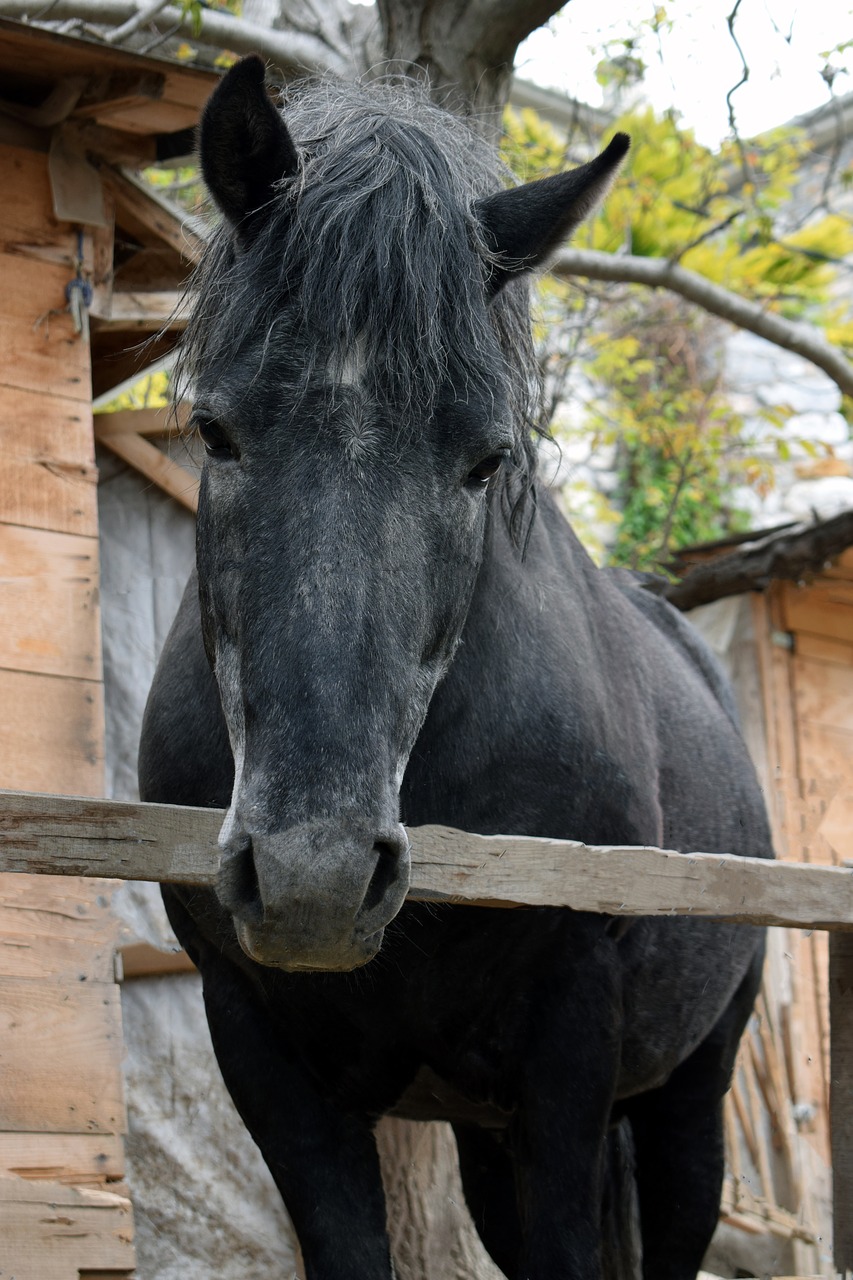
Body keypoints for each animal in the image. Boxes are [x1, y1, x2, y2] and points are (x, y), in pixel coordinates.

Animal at [140, 57, 768, 1280]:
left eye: (485, 460)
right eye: (215, 431)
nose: (316, 877)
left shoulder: (569, 1053)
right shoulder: (263, 1055)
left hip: (690, 1100)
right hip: (483, 1141)